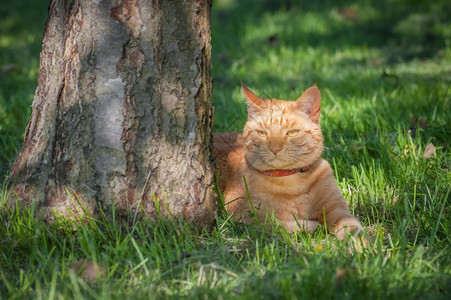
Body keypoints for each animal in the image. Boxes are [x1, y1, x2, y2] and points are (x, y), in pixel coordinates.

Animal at [215, 84, 368, 244]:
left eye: (292, 133)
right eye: (262, 133)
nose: (274, 149)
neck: (292, 181)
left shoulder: (338, 210)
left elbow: (353, 228)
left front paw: (363, 246)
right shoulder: (243, 214)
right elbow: (276, 223)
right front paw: (310, 226)